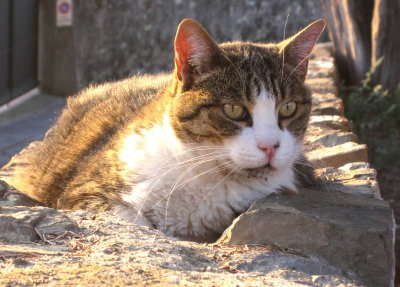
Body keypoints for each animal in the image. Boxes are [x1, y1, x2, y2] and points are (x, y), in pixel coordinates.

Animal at [6, 18, 324, 243]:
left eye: (288, 108)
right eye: (234, 110)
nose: (270, 146)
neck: (203, 173)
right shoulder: (86, 192)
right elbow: (132, 219)